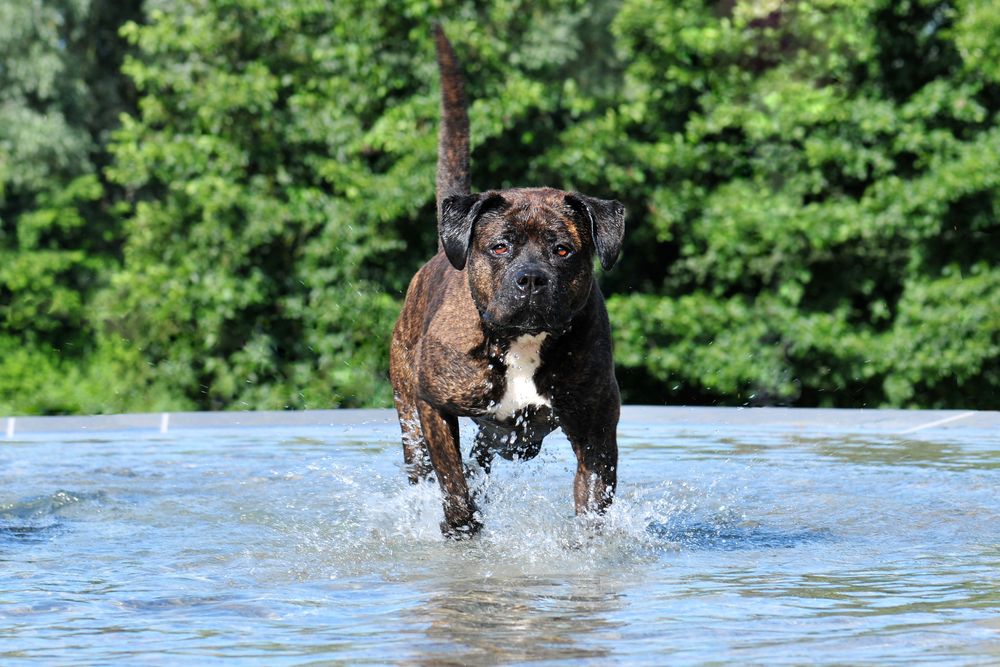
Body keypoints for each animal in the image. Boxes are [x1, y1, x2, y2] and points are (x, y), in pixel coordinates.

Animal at [390, 26, 624, 540]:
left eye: (563, 250)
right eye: (500, 247)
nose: (531, 279)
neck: (520, 342)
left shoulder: (596, 425)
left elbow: (593, 499)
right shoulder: (433, 406)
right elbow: (453, 481)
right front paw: (462, 526)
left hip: (510, 436)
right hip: (409, 412)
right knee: (429, 468)